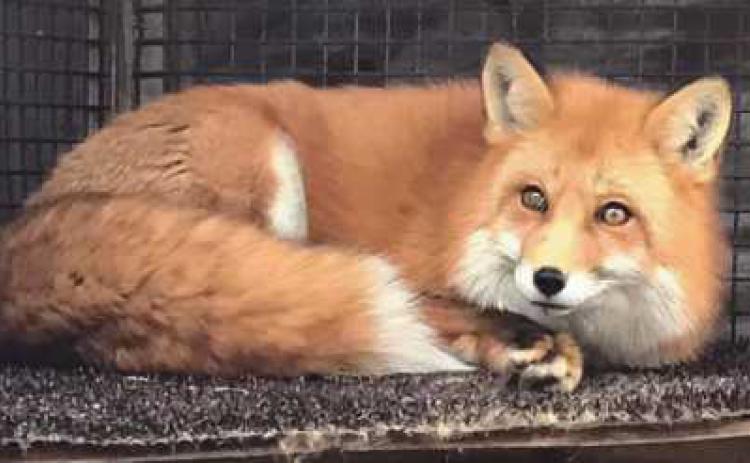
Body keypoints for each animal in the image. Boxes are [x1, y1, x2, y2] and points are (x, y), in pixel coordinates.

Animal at [0, 43, 733, 392]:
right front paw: (520, 340)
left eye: (614, 214)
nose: (546, 279)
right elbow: (444, 305)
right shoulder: (413, 270)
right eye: (534, 198)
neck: (465, 195)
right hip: (262, 165)